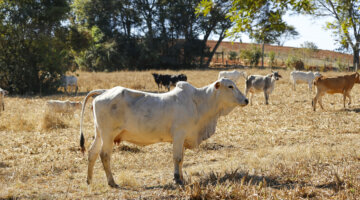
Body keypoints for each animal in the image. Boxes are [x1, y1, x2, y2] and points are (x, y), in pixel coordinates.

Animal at [78, 78, 248, 188]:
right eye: (230, 86)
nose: (246, 100)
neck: (199, 102)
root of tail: (103, 92)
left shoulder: (183, 139)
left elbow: (181, 159)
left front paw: (181, 177)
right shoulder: (179, 135)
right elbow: (177, 158)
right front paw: (177, 179)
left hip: (99, 133)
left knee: (92, 153)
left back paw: (89, 180)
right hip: (108, 135)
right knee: (104, 155)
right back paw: (112, 182)